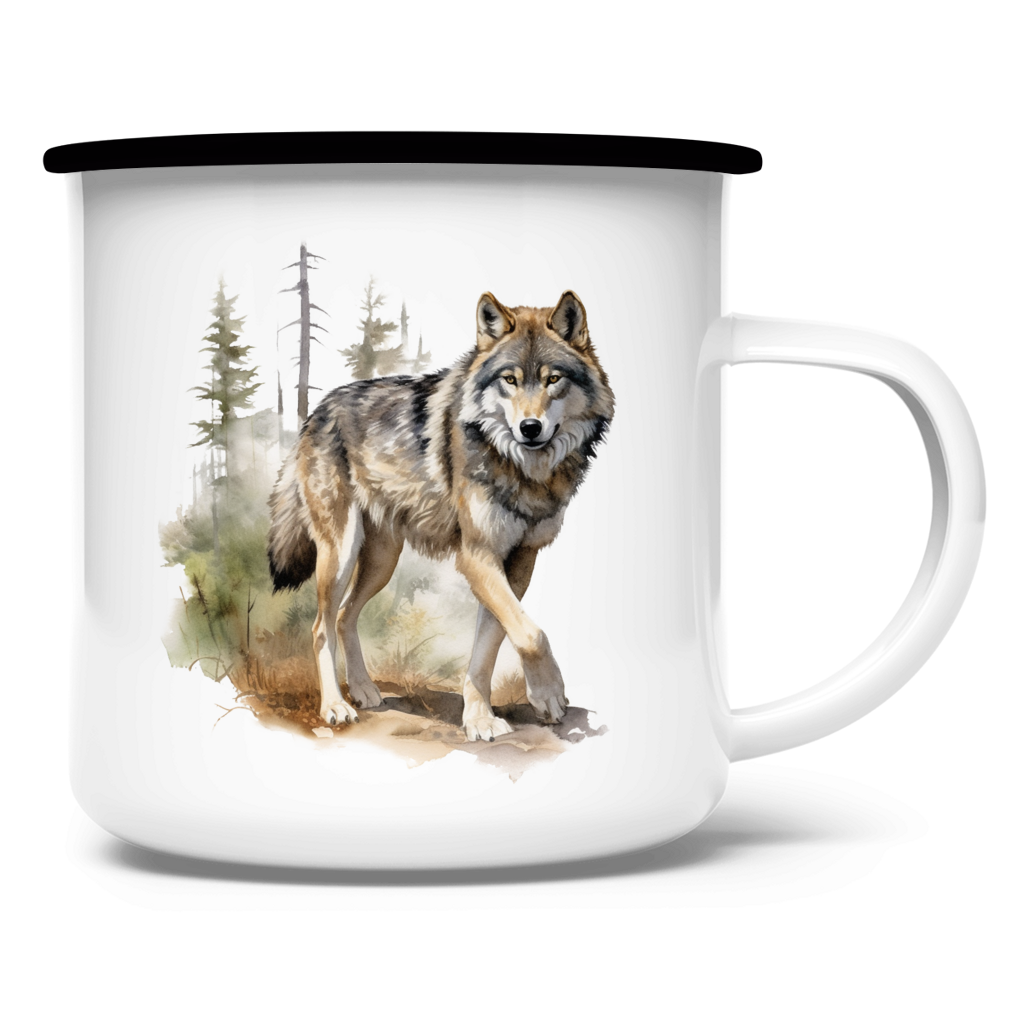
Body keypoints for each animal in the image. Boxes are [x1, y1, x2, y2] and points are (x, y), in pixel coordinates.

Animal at [267, 289, 615, 741]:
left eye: (553, 379)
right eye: (510, 380)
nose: (530, 427)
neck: (523, 471)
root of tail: (317, 409)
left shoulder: (519, 562)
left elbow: (494, 643)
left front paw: (479, 718)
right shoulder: (477, 556)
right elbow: (533, 633)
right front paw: (550, 693)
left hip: (382, 561)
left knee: (344, 617)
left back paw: (363, 690)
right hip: (340, 554)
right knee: (321, 627)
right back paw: (335, 706)